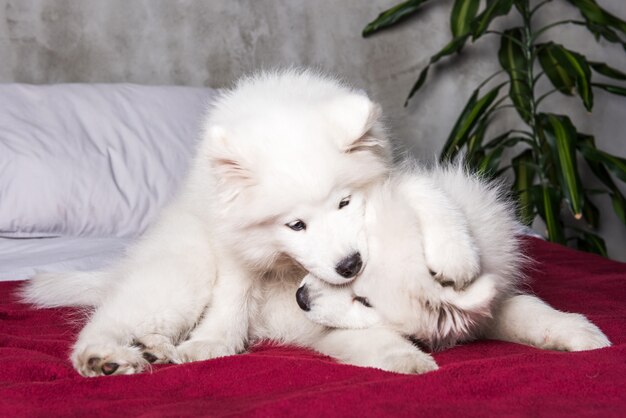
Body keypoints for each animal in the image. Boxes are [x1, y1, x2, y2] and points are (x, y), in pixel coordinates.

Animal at [296, 165, 608, 368]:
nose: (301, 299)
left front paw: (579, 332)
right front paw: (412, 360)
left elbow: (528, 309)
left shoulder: (489, 308)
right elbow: (373, 338)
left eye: (364, 301)